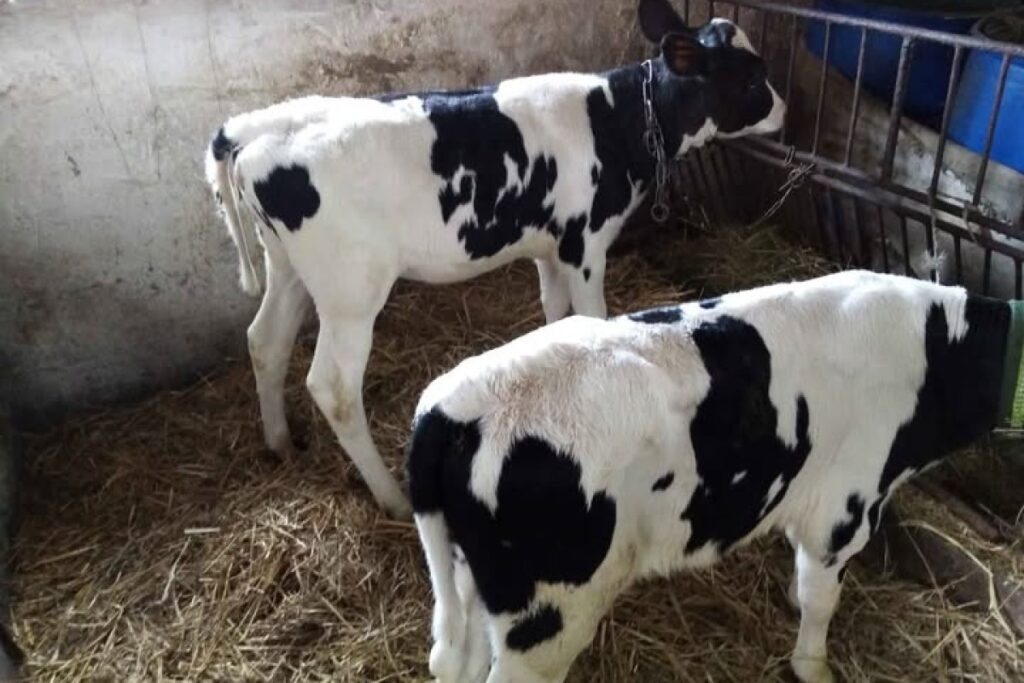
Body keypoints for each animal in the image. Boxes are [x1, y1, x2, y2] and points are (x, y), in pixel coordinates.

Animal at [203, 0, 786, 518]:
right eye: (753, 77)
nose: (786, 109)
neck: (617, 119)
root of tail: (257, 128)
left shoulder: (550, 248)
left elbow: (556, 318)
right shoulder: (585, 243)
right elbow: (593, 321)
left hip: (287, 268)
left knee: (265, 341)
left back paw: (279, 442)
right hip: (351, 291)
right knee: (334, 387)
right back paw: (392, 497)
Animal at [407, 270, 1023, 683]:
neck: (936, 348)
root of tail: (450, 405)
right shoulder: (844, 510)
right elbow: (820, 601)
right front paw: (812, 666)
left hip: (471, 578)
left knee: (457, 660)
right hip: (548, 618)